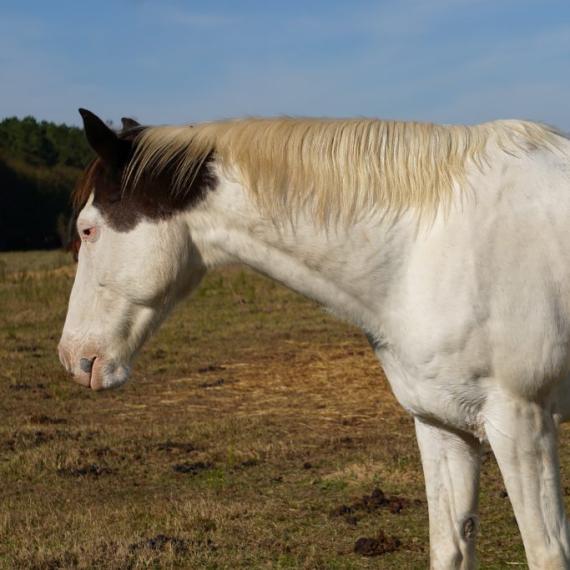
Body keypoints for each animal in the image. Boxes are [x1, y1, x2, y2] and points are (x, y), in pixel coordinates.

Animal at [58, 107, 570, 568]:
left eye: (89, 229)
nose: (72, 358)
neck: (423, 250)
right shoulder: (443, 424)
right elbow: (451, 549)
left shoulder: (521, 424)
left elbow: (547, 553)